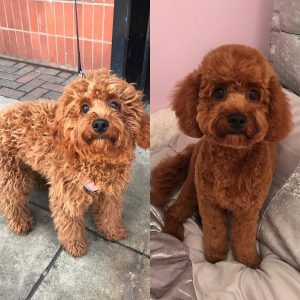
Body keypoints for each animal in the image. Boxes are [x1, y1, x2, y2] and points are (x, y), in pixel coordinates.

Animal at [0, 69, 150, 256]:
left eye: (114, 104)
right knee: (10, 198)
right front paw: (75, 245)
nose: (100, 124)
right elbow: (69, 223)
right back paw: (20, 222)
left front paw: (113, 230)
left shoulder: (110, 192)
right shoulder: (67, 194)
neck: (96, 159)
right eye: (84, 108)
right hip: (11, 172)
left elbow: (110, 212)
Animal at [151, 44, 292, 268]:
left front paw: (250, 262)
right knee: (174, 210)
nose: (237, 118)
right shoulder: (210, 202)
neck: (231, 156)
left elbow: (243, 239)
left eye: (253, 93)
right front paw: (215, 259)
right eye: (219, 92)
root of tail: (197, 144)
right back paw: (173, 232)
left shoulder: (248, 209)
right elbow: (215, 233)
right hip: (193, 186)